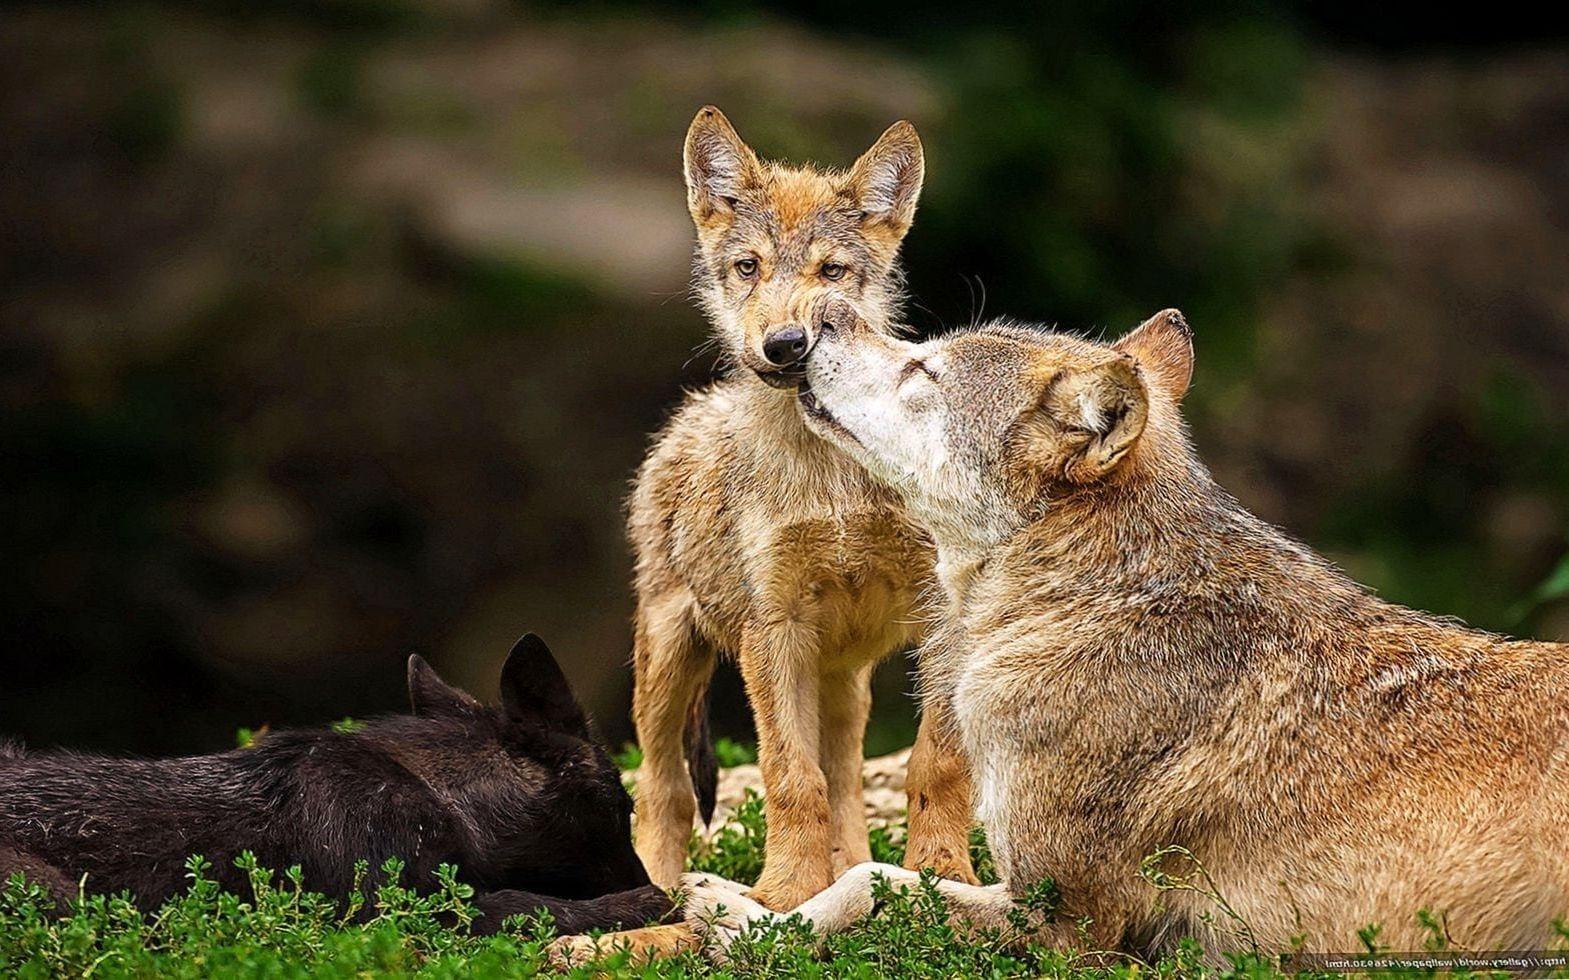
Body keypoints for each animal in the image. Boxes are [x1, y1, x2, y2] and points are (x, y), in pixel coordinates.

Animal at [0, 634, 672, 936]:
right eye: (623, 806)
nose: (643, 873)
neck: (459, 813)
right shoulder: (392, 903)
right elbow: (533, 906)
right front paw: (644, 902)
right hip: (53, 894)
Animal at [628, 107, 976, 912]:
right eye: (748, 267)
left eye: (831, 272)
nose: (786, 344)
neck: (832, 472)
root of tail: (689, 418)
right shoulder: (773, 627)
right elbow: (791, 779)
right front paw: (785, 894)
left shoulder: (940, 616)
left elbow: (933, 764)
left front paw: (944, 874)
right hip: (669, 659)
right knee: (662, 792)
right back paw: (657, 891)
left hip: (841, 676)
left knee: (846, 778)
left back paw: (856, 875)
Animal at [684, 306, 1569, 957]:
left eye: (922, 369)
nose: (819, 319)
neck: (1090, 603)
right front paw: (732, 904)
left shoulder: (1075, 923)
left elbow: (874, 882)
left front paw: (742, 923)